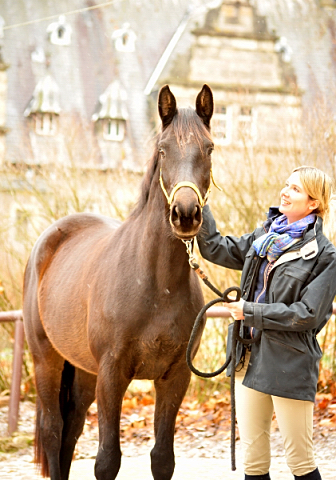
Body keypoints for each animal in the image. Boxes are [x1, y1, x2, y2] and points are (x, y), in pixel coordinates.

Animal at [22, 84, 214, 478]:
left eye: (209, 148)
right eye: (163, 149)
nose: (186, 214)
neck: (157, 284)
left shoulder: (175, 377)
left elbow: (163, 459)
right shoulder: (112, 375)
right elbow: (107, 460)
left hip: (82, 370)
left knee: (70, 432)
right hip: (46, 360)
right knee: (52, 429)